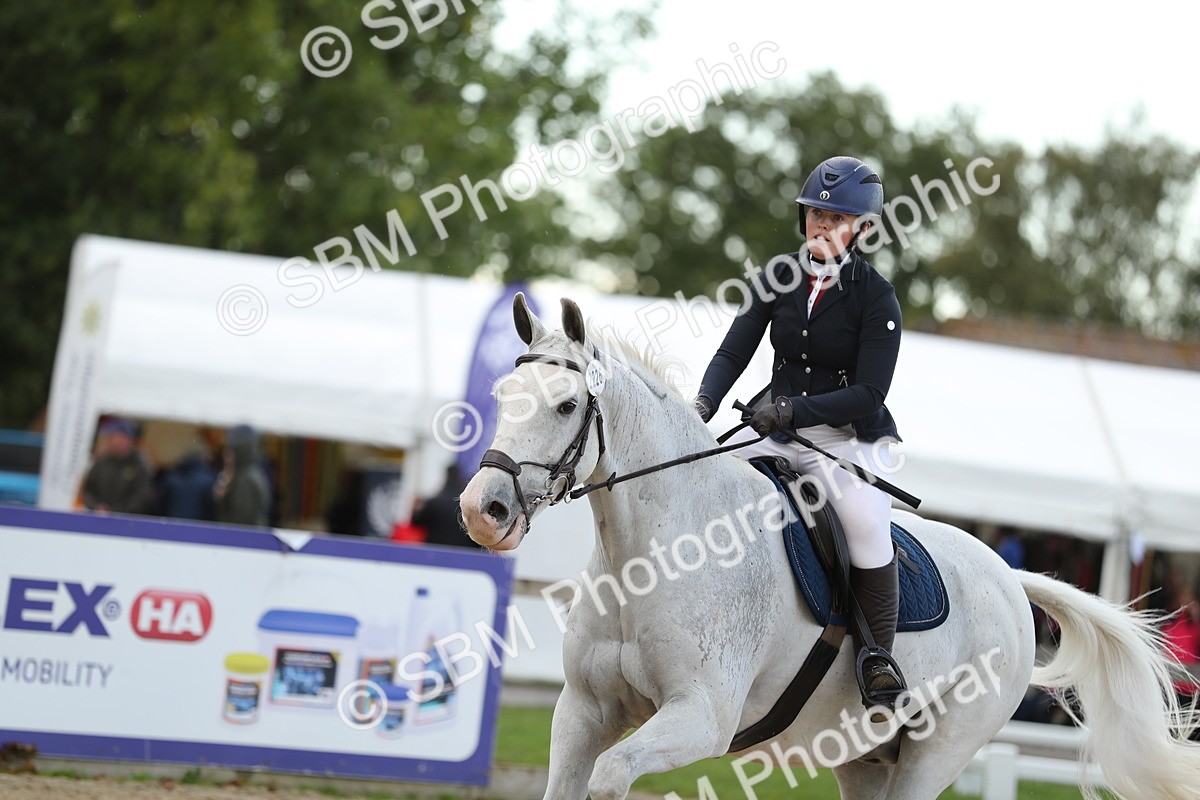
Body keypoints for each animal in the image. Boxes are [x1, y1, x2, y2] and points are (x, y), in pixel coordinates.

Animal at [459, 294, 1200, 800]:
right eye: (502, 392)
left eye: (564, 405)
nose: (481, 511)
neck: (652, 554)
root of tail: (1011, 581)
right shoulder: (583, 711)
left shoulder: (700, 718)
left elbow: (612, 775)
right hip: (863, 757)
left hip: (936, 752)